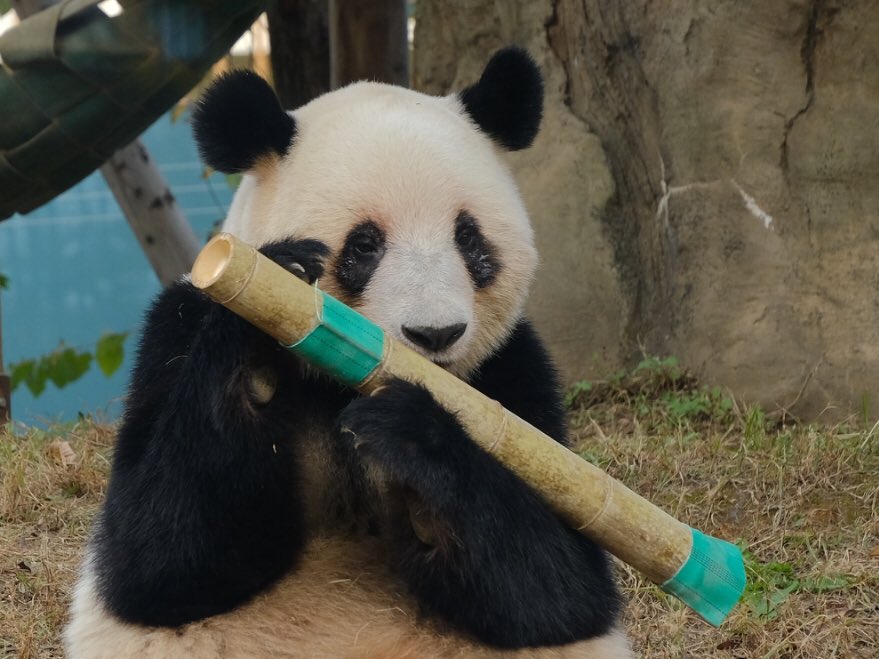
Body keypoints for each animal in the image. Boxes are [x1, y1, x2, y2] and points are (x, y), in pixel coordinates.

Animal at [65, 48, 632, 658]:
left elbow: (561, 587)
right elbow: (156, 559)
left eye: (468, 238)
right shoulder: (175, 328)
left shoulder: (512, 373)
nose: (436, 334)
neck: (339, 388)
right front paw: (269, 318)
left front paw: (409, 433)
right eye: (364, 245)